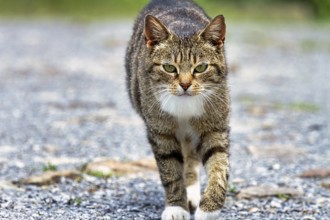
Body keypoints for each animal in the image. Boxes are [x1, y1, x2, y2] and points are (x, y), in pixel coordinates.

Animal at [125, 0, 231, 219]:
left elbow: (219, 166)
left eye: (201, 68)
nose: (184, 84)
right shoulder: (161, 133)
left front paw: (209, 209)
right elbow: (171, 172)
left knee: (191, 159)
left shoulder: (215, 127)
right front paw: (176, 207)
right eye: (169, 68)